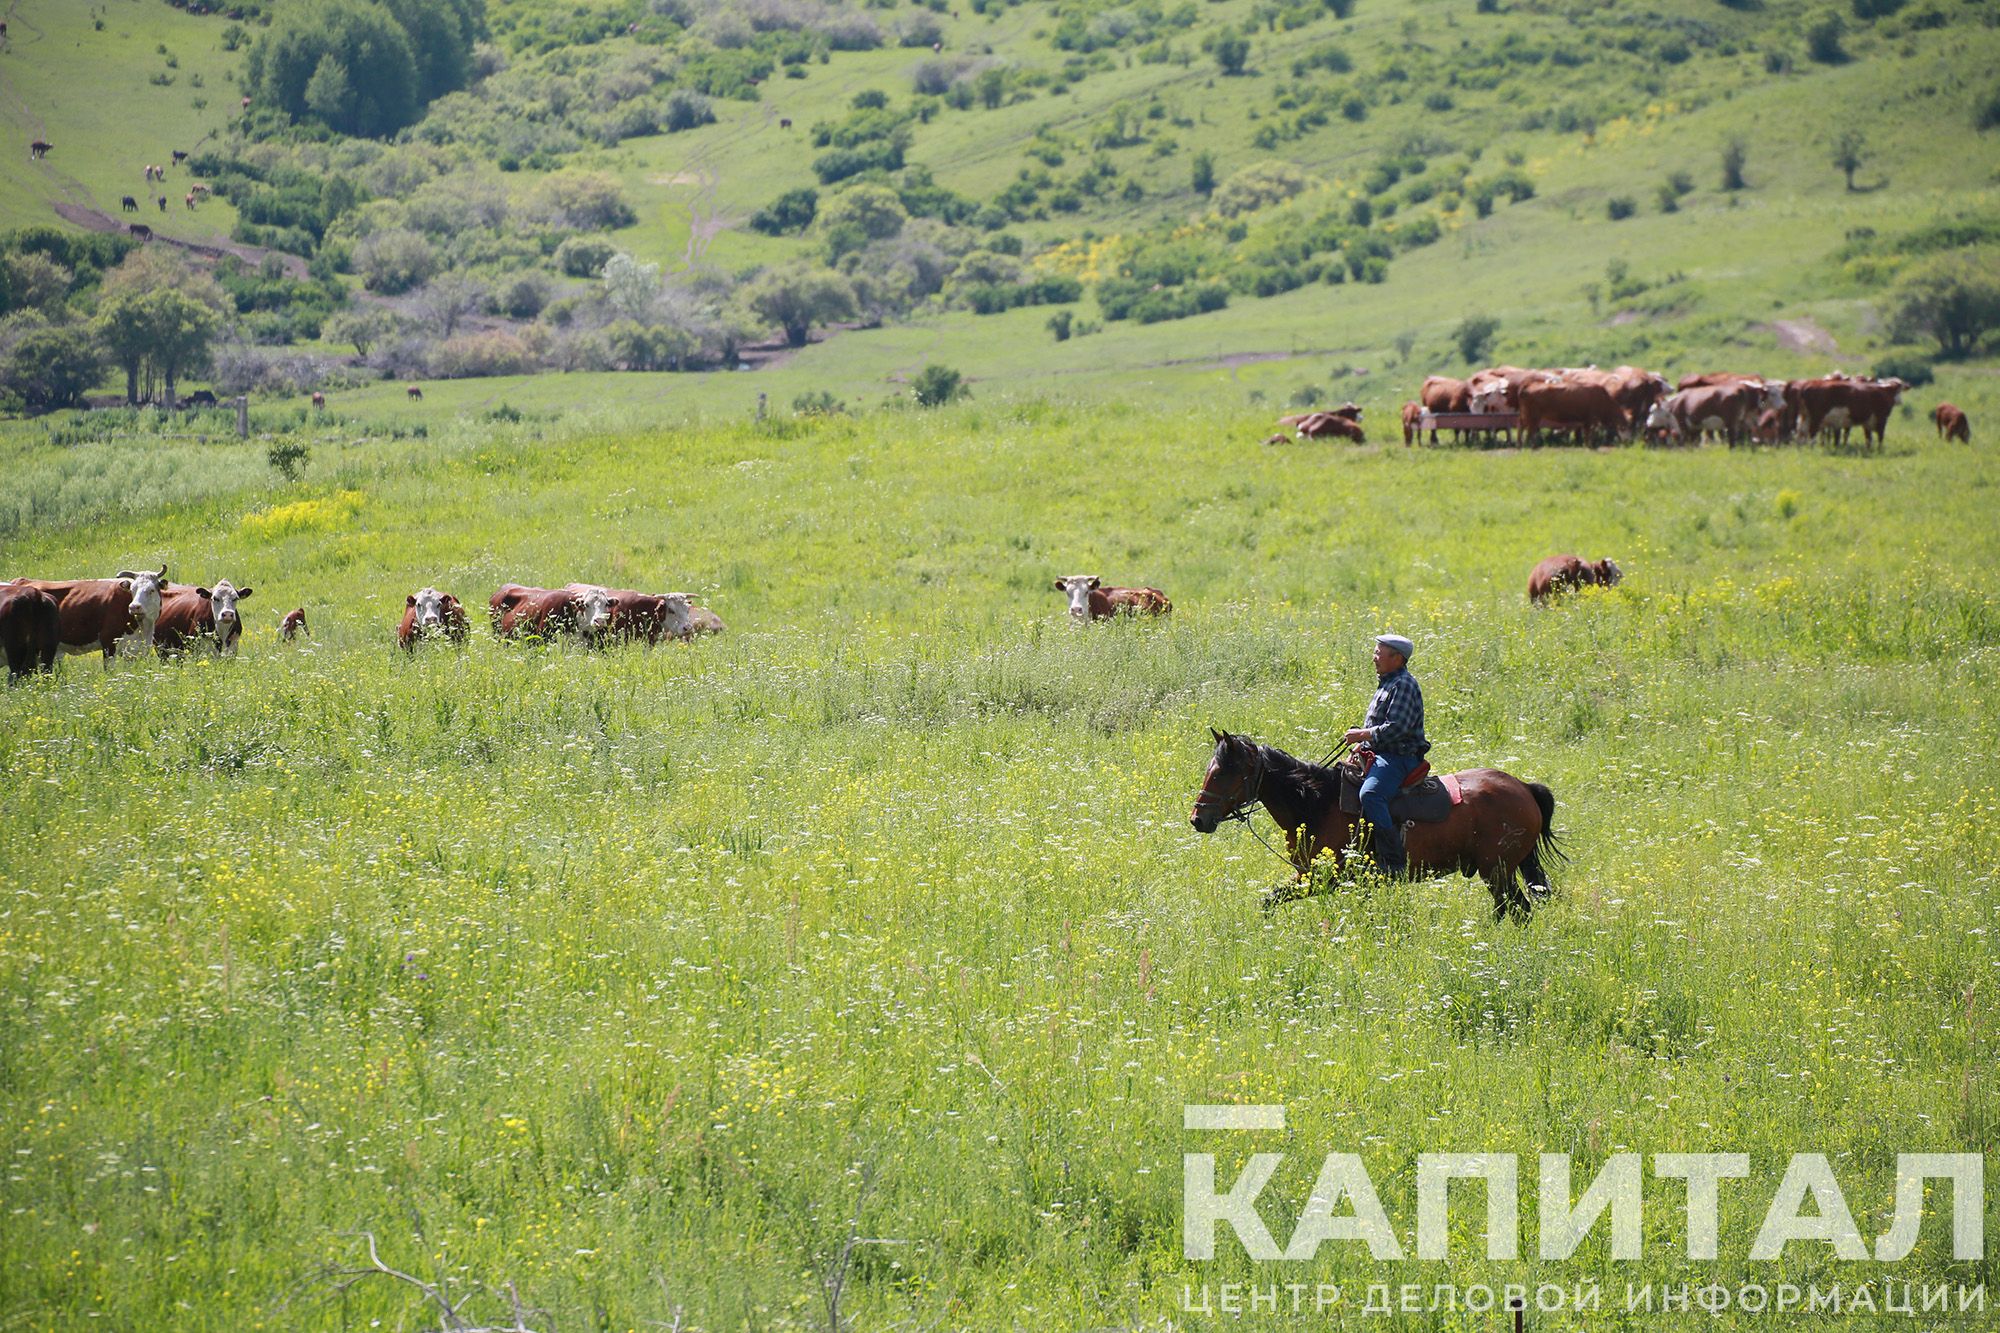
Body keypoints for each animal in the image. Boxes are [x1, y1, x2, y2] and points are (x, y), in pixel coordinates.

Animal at [1184, 720, 1560, 920]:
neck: (1316, 804)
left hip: (1497, 871)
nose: (1198, 818)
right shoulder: (1307, 875)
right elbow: (1269, 900)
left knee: (1517, 910)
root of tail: (1524, 788)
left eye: (1223, 773)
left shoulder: (1324, 878)